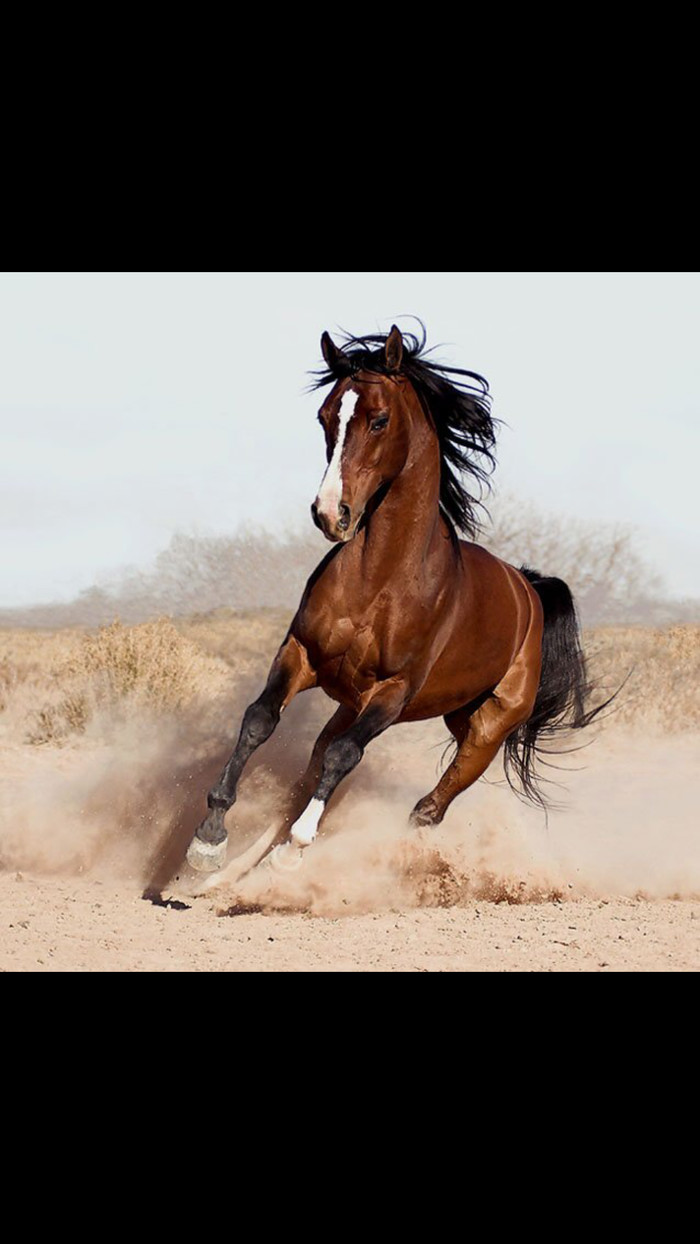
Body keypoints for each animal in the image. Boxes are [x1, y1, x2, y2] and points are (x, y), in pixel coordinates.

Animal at [185, 320, 609, 885]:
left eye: (379, 420)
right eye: (325, 416)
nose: (330, 514)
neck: (380, 580)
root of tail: (528, 590)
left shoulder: (394, 691)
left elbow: (344, 758)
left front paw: (295, 850)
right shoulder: (300, 655)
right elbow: (259, 721)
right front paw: (209, 840)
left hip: (485, 729)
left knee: (427, 806)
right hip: (373, 706)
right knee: (313, 774)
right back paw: (233, 873)